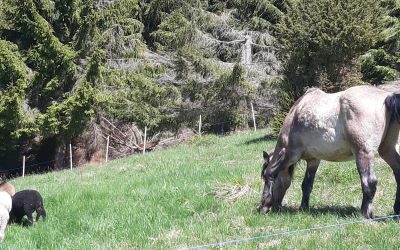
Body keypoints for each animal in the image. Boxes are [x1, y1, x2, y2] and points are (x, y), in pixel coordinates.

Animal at [258, 85, 400, 218]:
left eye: (263, 177)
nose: (260, 207)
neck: (296, 112)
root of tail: (387, 96)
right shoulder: (313, 160)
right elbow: (306, 185)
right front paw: (303, 208)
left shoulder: (290, 154)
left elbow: (272, 172)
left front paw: (266, 204)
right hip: (386, 150)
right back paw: (396, 210)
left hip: (363, 153)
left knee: (369, 182)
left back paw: (365, 214)